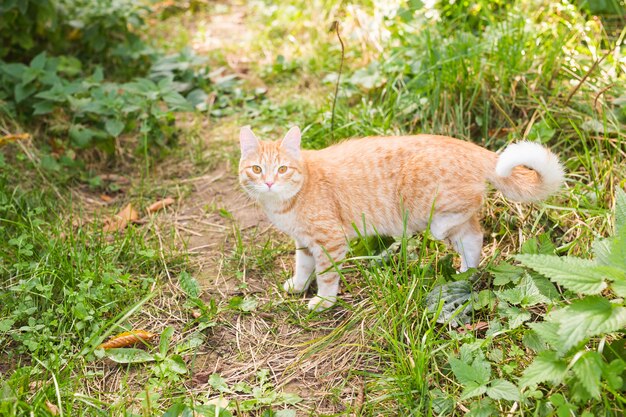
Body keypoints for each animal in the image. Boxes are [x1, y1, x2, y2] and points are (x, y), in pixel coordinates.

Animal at [238, 125, 560, 310]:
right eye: (256, 169)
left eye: (282, 169)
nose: (269, 182)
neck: (285, 202)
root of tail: (468, 146)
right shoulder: (304, 241)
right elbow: (304, 266)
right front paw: (298, 285)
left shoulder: (330, 241)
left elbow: (327, 274)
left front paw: (324, 301)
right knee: (473, 235)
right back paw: (466, 271)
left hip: (422, 199)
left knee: (465, 213)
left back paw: (438, 230)